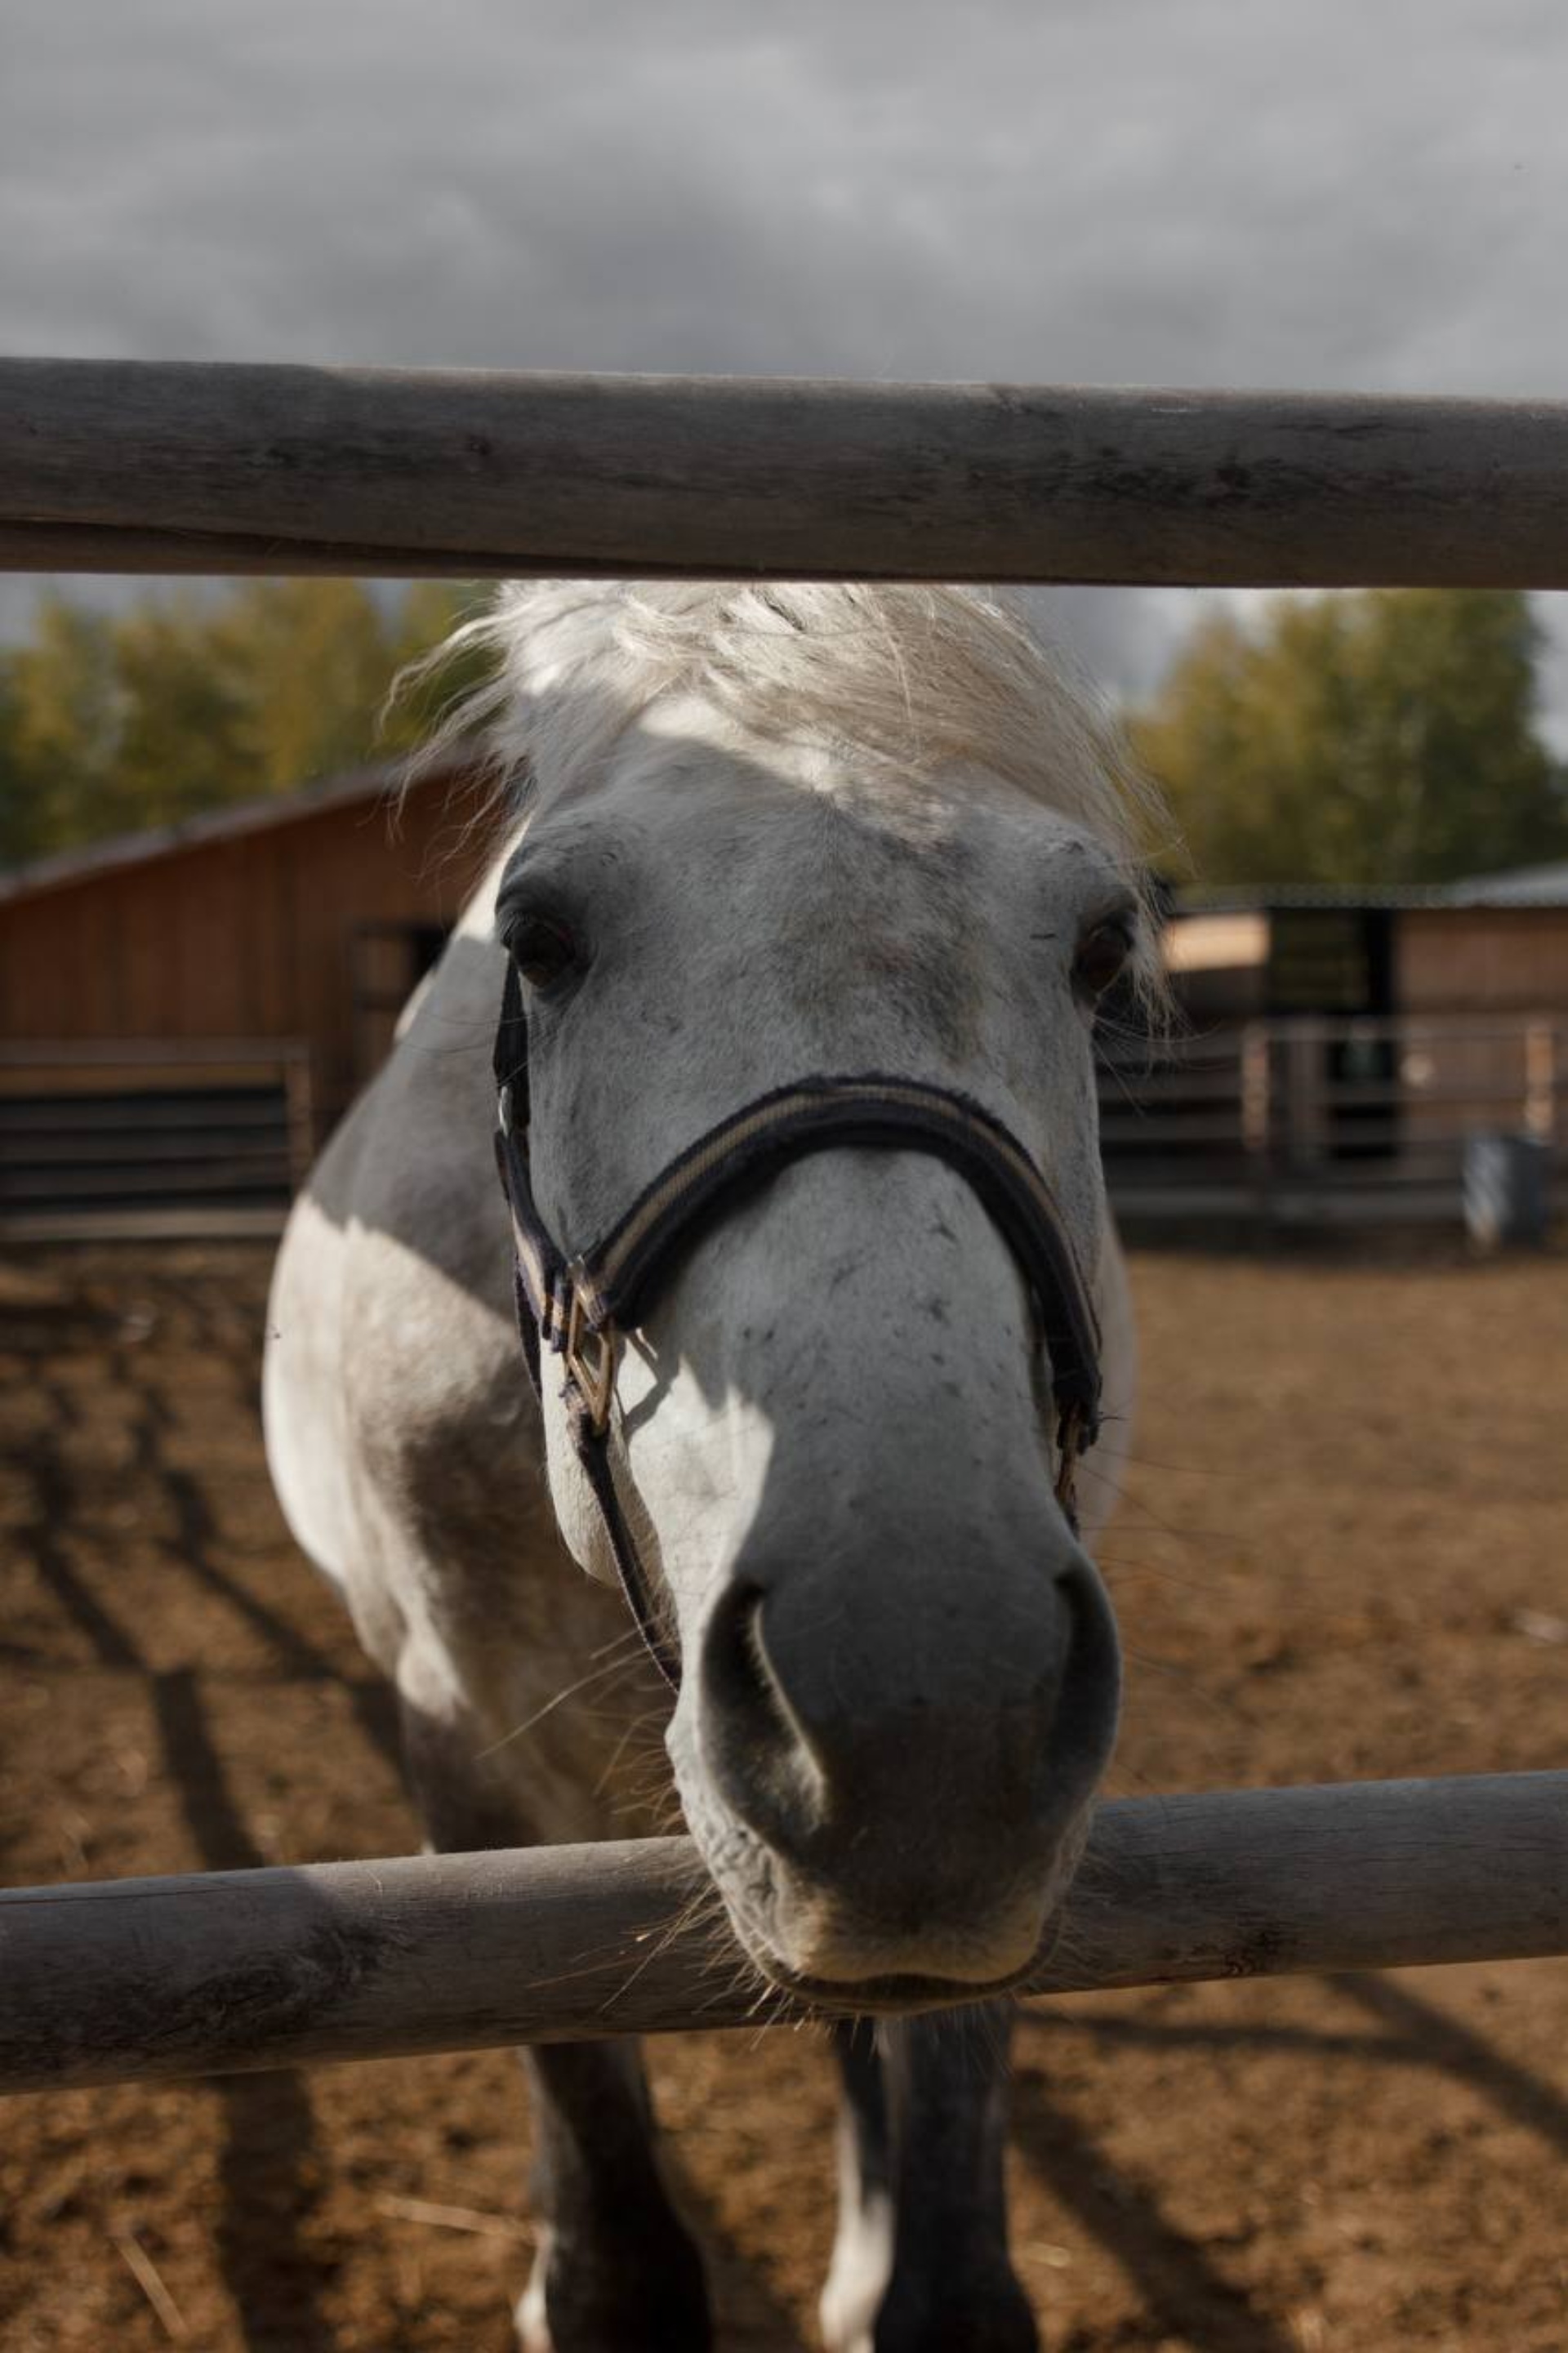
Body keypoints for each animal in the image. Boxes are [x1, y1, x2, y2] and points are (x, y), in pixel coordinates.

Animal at [262, 583, 1153, 2353]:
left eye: (1101, 949)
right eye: (541, 938)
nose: (921, 1708)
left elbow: (949, 2278)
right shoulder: (464, 1740)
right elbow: (619, 2253)